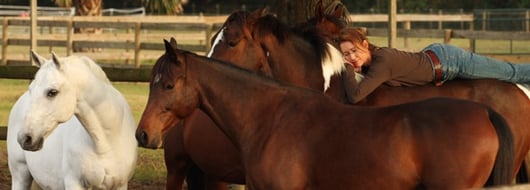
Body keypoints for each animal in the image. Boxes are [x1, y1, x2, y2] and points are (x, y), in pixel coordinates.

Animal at [6, 51, 137, 189]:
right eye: (31, 89)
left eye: (52, 92)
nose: (24, 138)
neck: (106, 143)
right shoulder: (74, 183)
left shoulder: (121, 185)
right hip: (20, 175)